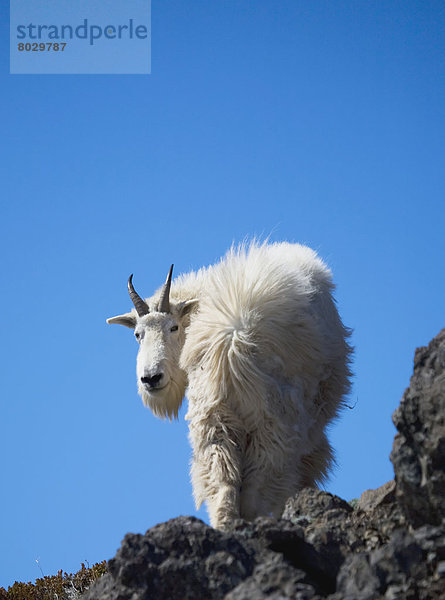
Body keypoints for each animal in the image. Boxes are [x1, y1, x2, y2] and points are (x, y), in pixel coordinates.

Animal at [106, 241, 350, 528]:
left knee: (225, 482)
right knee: (255, 488)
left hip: (216, 418)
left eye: (173, 327)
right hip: (269, 422)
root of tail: (231, 341)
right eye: (138, 334)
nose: (151, 378)